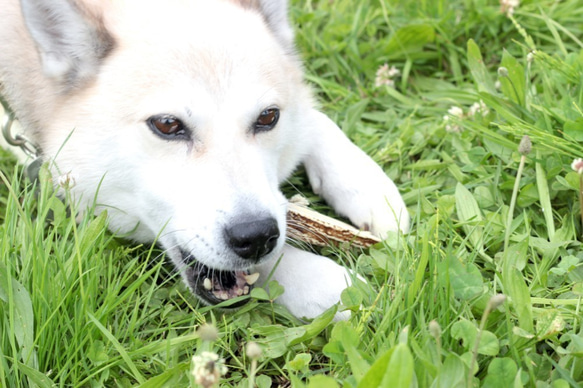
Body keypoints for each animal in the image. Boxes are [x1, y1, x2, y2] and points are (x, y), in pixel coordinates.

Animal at [0, 0, 410, 320]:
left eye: (268, 117)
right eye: (167, 125)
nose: (256, 237)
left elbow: (314, 118)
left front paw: (367, 186)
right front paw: (319, 281)